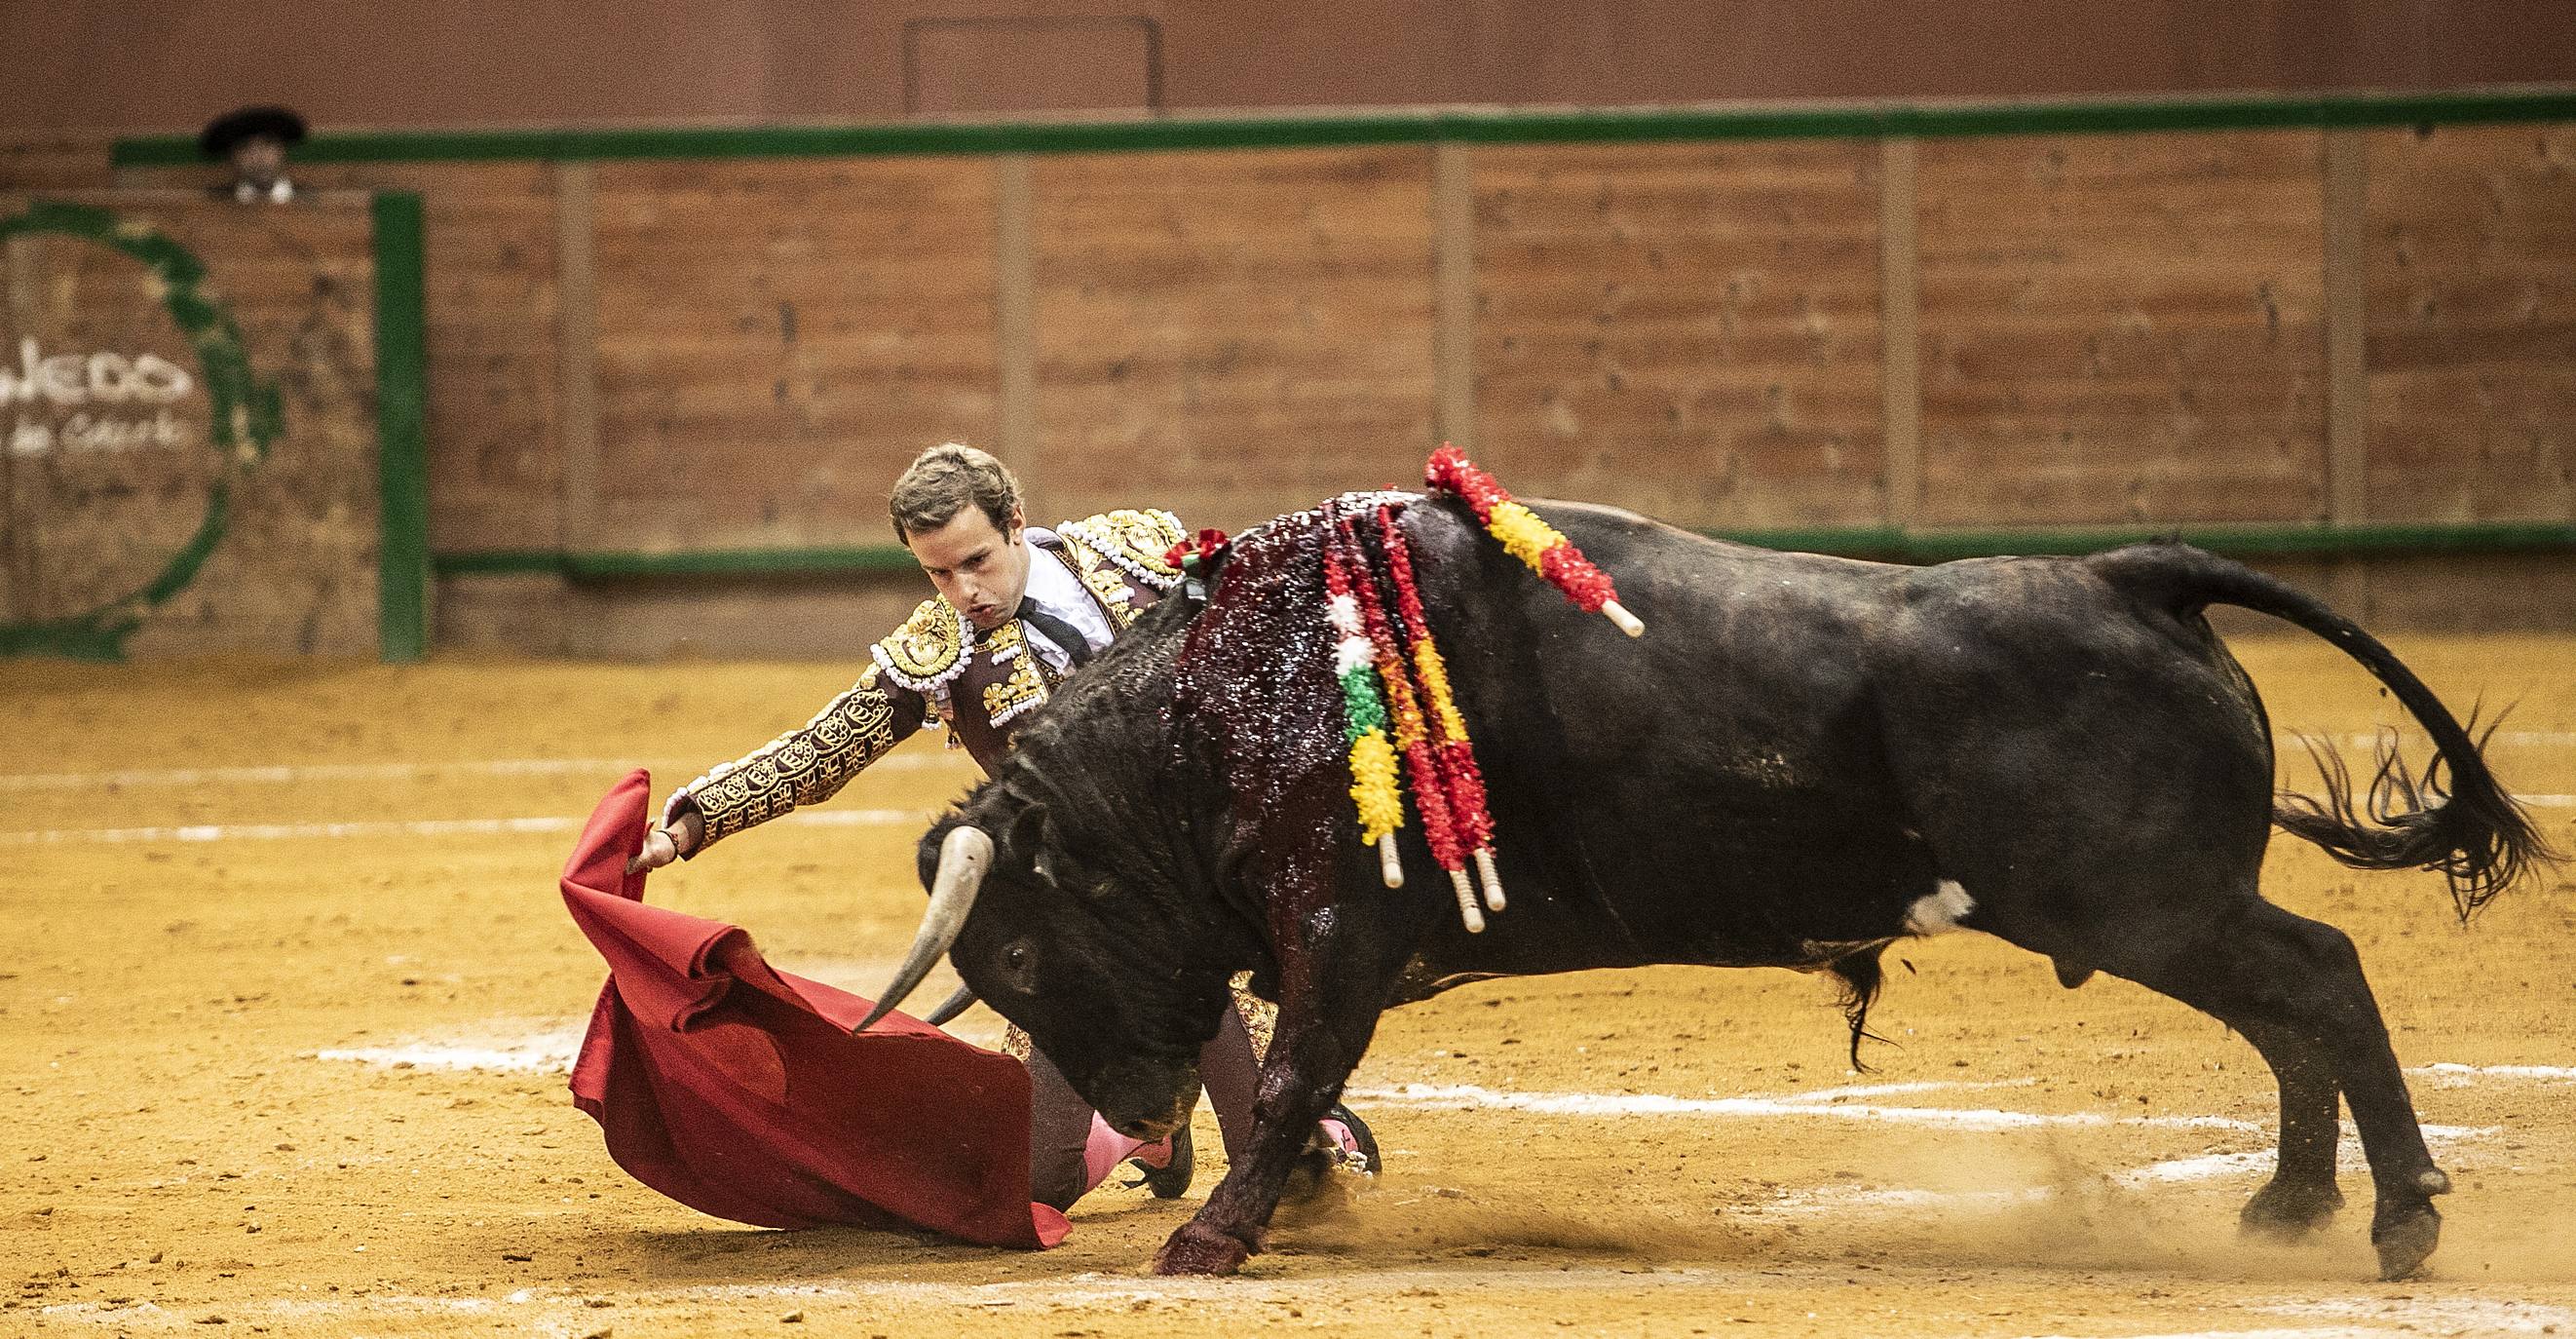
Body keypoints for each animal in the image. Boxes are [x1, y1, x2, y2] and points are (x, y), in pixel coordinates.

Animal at [860, 496, 2534, 1282]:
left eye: (1020, 955)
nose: (1138, 1122)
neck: (1220, 709)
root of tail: (2127, 574)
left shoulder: (1339, 930)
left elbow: (1288, 1080)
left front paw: (1208, 1238)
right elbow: (1296, 1077)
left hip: (2144, 904)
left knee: (2320, 977)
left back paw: (2396, 1218)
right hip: (2158, 911)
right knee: (2291, 1010)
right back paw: (2291, 1206)